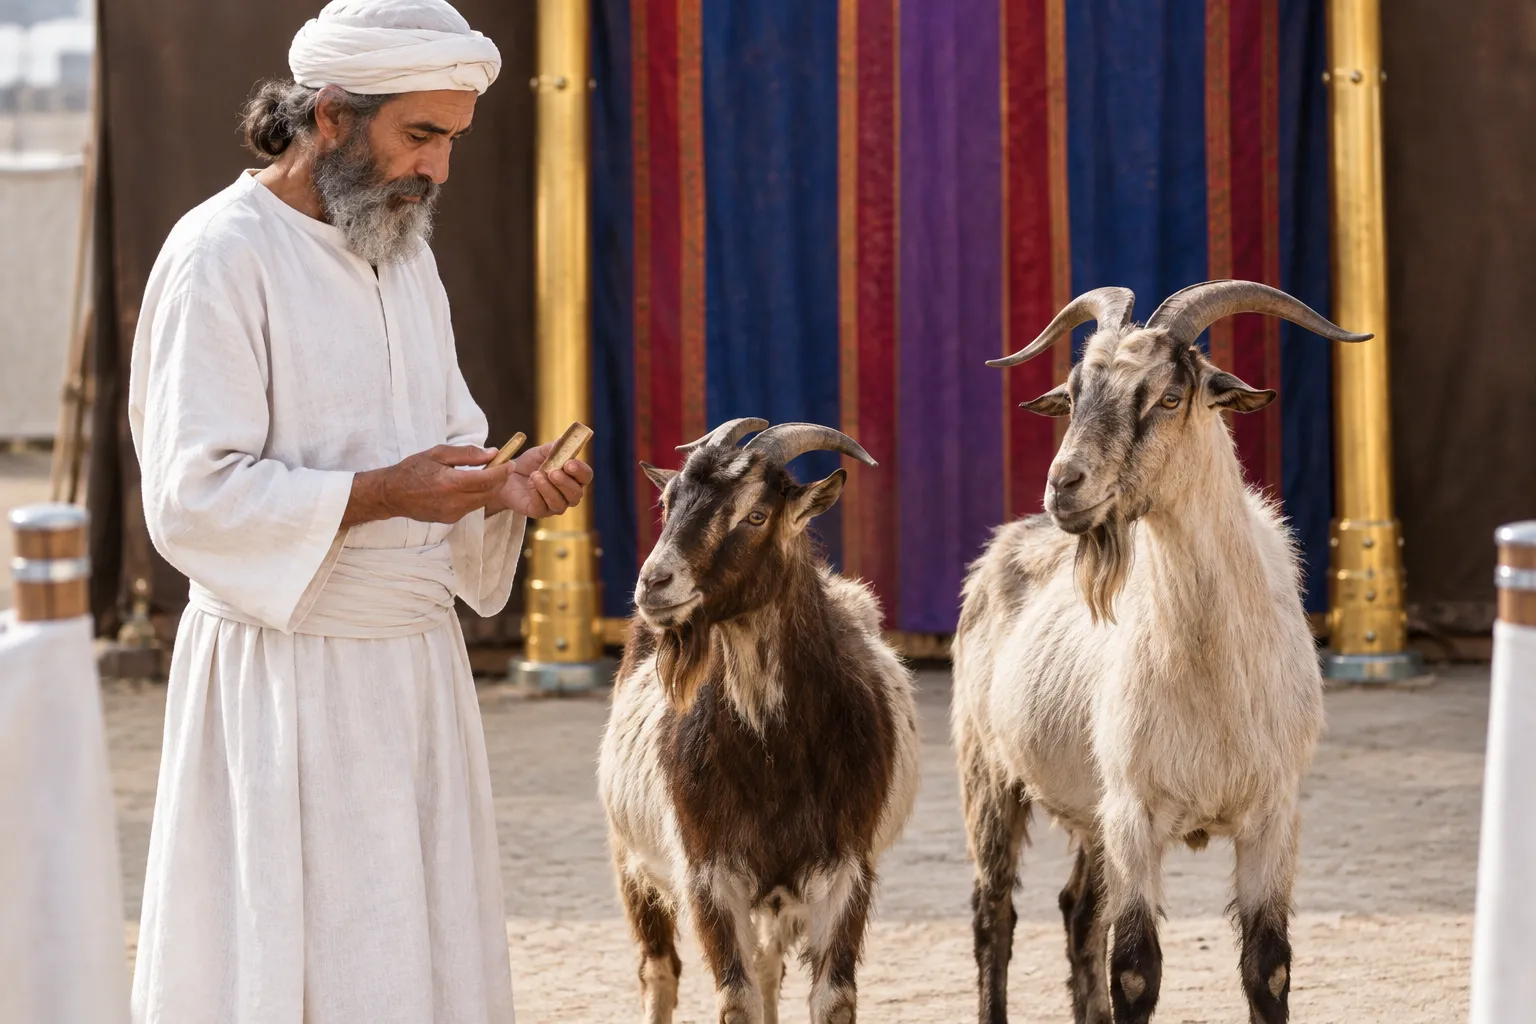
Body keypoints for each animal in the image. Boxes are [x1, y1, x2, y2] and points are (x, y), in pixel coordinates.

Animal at [598, 418, 921, 1024]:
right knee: (658, 970)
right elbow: (736, 998)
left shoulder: (844, 870)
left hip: (774, 897)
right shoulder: (707, 874)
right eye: (667, 501)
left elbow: (832, 997)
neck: (774, 755)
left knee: (770, 964)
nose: (654, 583)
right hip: (631, 858)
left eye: (755, 514)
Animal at [951, 281, 1369, 1024]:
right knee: (993, 914)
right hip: (988, 774)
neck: (1212, 674)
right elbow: (1136, 971)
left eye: (1169, 397)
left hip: (1087, 811)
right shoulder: (1134, 815)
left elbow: (1269, 969)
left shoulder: (1271, 816)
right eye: (1074, 392)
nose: (1065, 485)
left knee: (1075, 910)